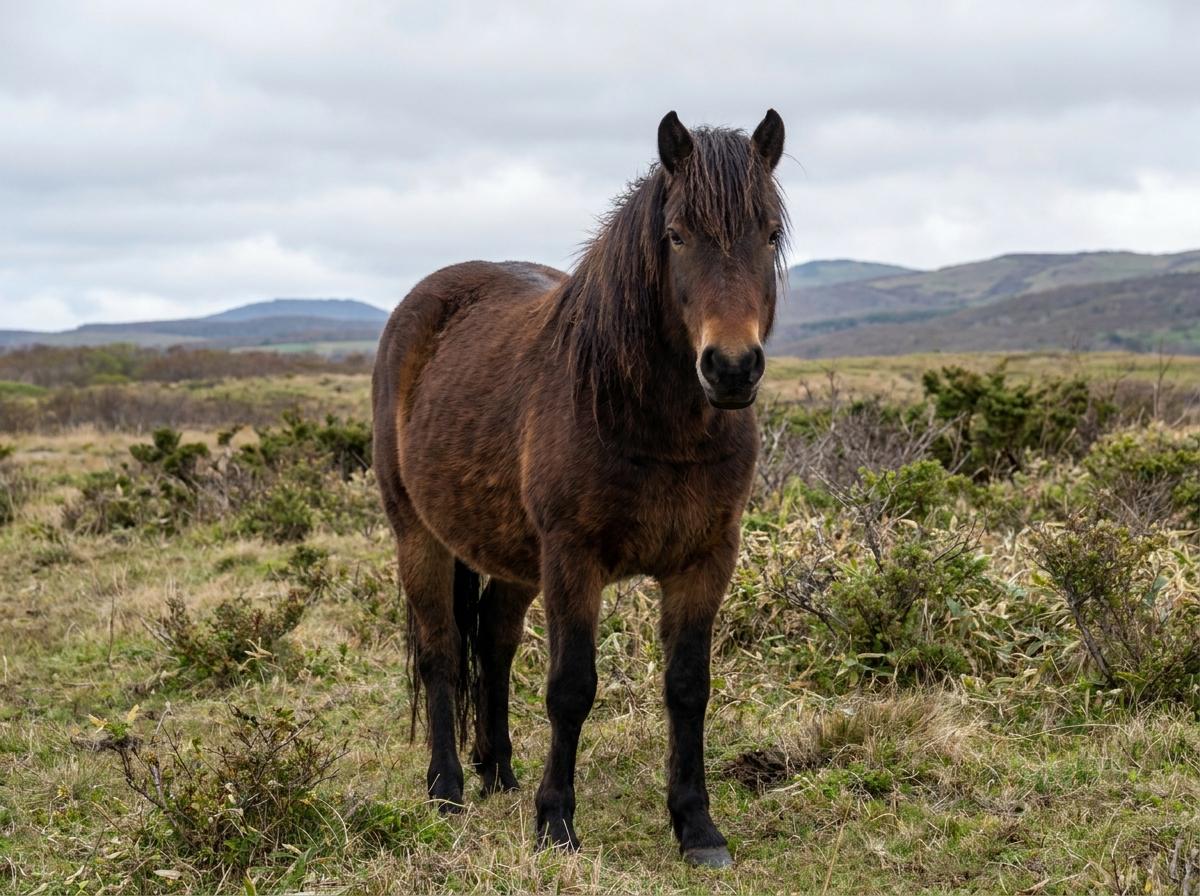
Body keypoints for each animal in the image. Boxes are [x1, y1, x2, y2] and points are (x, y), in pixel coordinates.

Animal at [372, 109, 787, 868]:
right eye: (677, 234)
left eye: (769, 233)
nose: (732, 368)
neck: (653, 423)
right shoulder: (574, 560)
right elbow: (571, 689)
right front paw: (556, 822)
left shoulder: (705, 561)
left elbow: (689, 688)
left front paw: (697, 826)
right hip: (418, 536)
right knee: (443, 652)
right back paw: (446, 788)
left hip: (512, 557)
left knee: (494, 643)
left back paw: (498, 771)